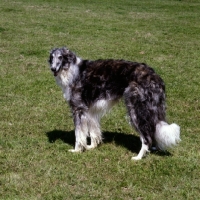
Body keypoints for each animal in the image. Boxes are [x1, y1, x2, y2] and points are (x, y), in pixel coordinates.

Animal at [48, 46, 181, 159]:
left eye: (60, 57)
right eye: (52, 57)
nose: (53, 69)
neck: (71, 70)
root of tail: (156, 77)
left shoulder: (78, 109)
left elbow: (78, 134)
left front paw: (77, 150)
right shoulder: (90, 110)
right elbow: (93, 131)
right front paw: (91, 146)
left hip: (135, 110)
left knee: (146, 137)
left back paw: (139, 157)